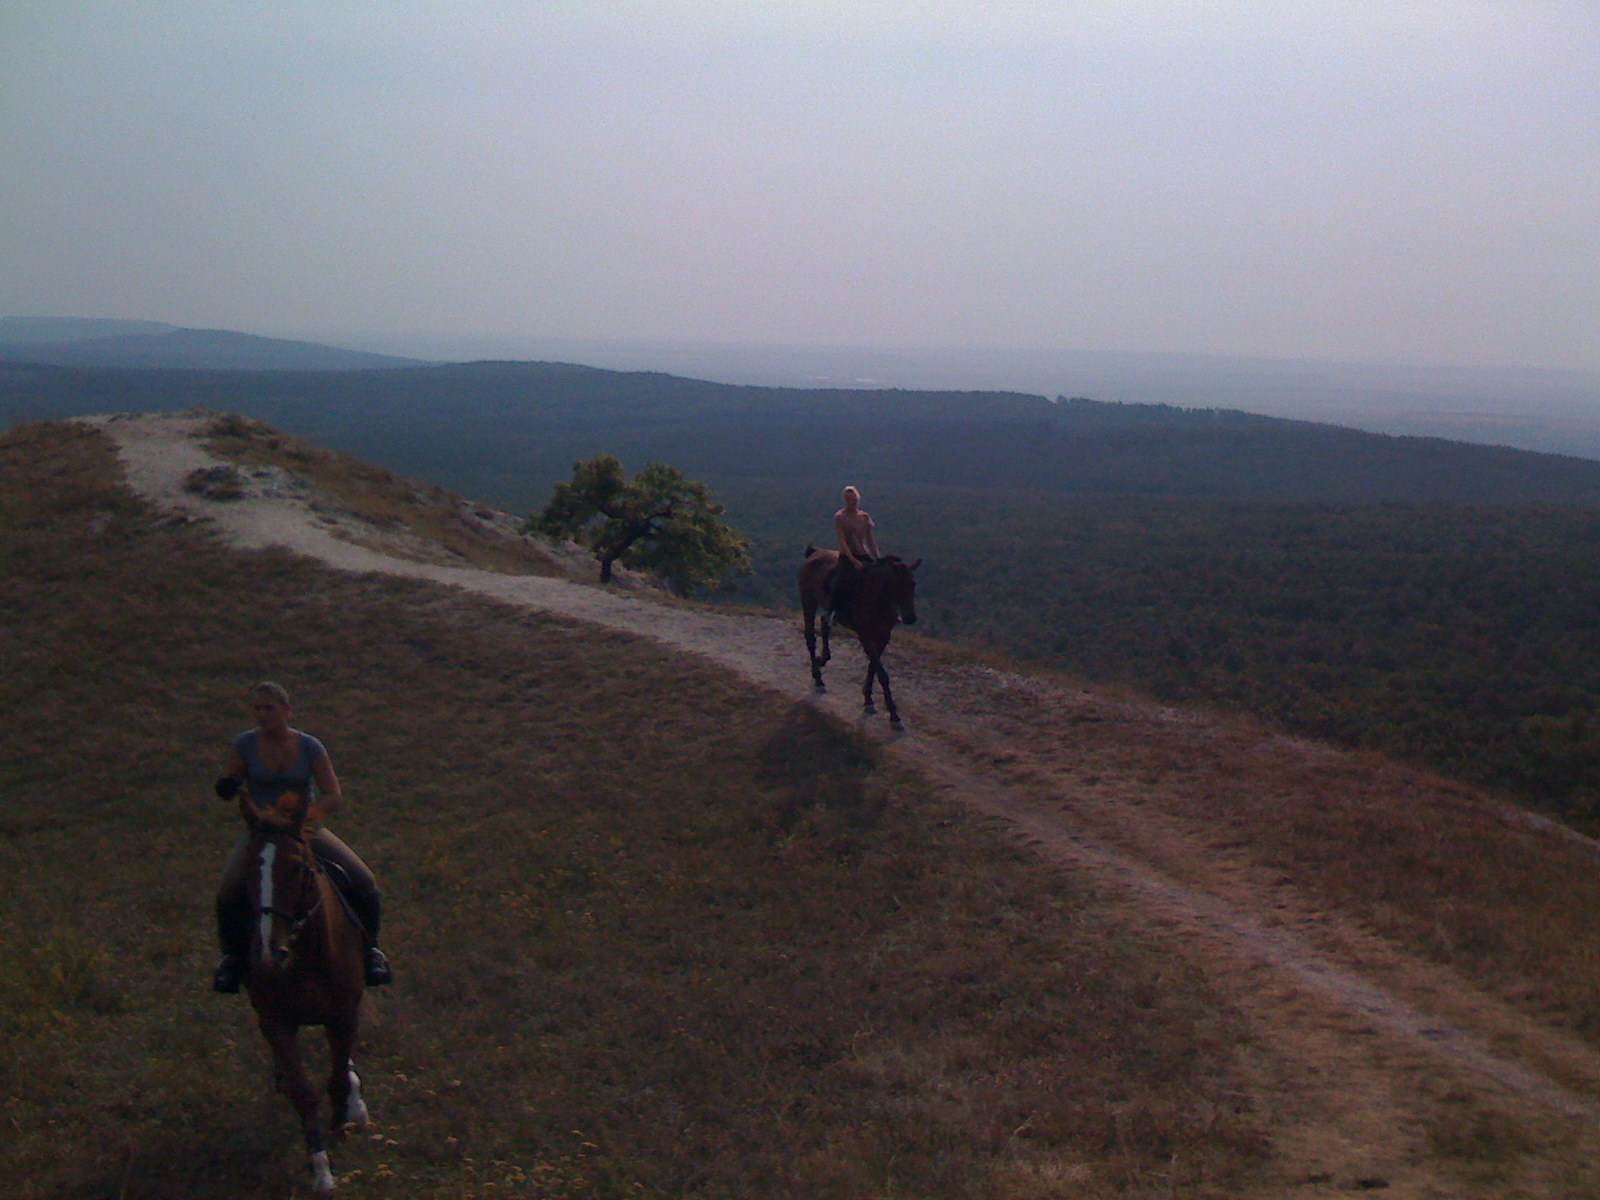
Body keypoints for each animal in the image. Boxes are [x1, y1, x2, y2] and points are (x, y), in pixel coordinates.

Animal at [235, 800, 369, 1196]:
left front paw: (342, 1124)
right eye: (248, 868)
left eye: (296, 867)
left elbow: (337, 1078)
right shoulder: (275, 1021)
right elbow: (303, 1092)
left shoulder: (343, 1013)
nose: (269, 953)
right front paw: (321, 1170)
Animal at [796, 547, 921, 732]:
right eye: (895, 585)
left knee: (824, 623)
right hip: (808, 601)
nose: (910, 618)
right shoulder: (865, 635)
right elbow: (882, 673)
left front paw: (868, 699)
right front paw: (894, 715)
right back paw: (818, 679)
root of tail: (814, 552)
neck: (878, 598)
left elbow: (873, 667)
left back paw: (821, 660)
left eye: (913, 583)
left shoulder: (883, 636)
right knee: (810, 637)